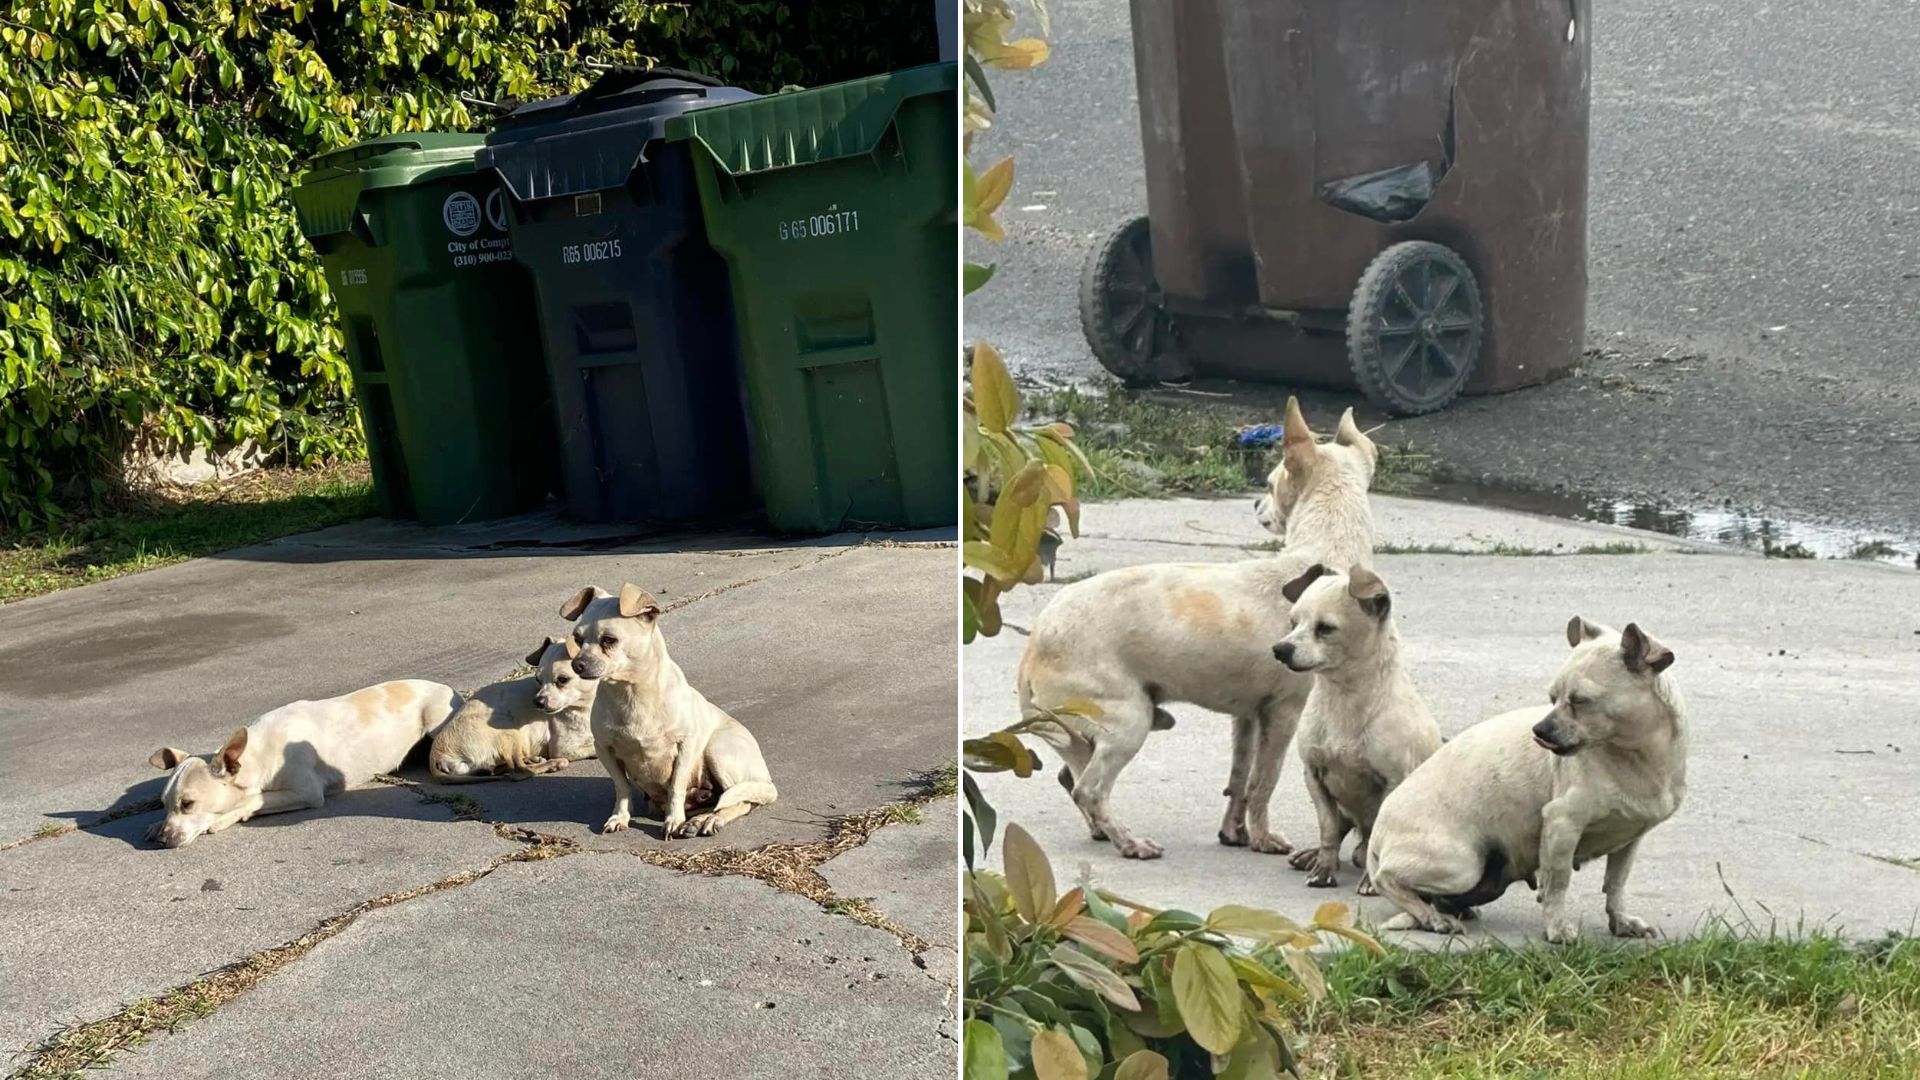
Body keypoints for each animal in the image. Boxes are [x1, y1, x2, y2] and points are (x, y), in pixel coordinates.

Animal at [146, 676, 460, 845]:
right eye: (164, 804)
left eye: (188, 804)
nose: (163, 839)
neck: (257, 753)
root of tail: (448, 687)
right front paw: (155, 824)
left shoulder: (307, 792)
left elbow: (254, 800)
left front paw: (225, 817)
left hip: (436, 722)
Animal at [433, 634, 599, 776]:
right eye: (538, 680)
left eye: (562, 679)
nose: (537, 701)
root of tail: (439, 755)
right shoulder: (563, 748)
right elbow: (594, 748)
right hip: (507, 728)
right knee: (518, 770)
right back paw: (553, 764)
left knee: (505, 767)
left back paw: (532, 760)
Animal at [560, 584, 779, 837]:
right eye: (577, 639)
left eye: (609, 640)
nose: (577, 664)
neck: (631, 693)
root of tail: (766, 779)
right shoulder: (604, 749)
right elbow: (622, 787)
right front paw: (620, 817)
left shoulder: (685, 747)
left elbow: (676, 786)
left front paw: (673, 820)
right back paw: (697, 816)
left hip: (717, 750)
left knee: (739, 801)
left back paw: (709, 820)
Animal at [1274, 557, 1443, 887]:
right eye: (1292, 623)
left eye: (1325, 629)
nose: (1280, 649)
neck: (1342, 698)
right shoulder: (1315, 777)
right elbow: (1327, 830)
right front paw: (1324, 869)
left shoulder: (1392, 782)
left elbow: (1377, 836)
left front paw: (1369, 882)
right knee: (1344, 832)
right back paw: (1314, 855)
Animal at [1367, 618, 1681, 937]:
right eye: (1552, 698)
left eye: (1581, 701)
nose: (1539, 731)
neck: (1636, 758)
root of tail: (1375, 836)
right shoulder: (1562, 824)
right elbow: (1557, 883)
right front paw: (1557, 929)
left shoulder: (1629, 841)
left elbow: (1616, 884)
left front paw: (1621, 921)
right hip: (1461, 865)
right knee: (1386, 879)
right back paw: (1433, 918)